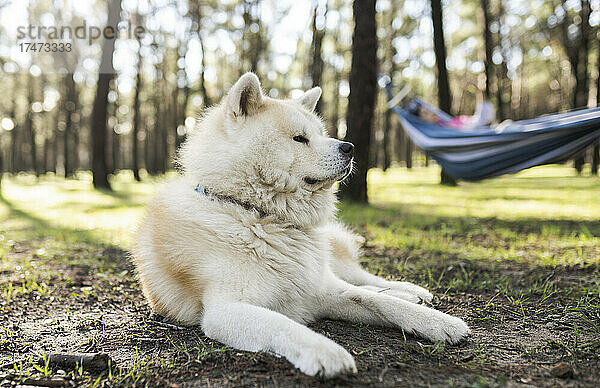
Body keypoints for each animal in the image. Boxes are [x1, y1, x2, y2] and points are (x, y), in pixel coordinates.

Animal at [134, 73, 472, 378]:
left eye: (322, 134)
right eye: (299, 138)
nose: (349, 147)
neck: (260, 215)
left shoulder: (320, 290)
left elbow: (378, 301)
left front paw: (438, 322)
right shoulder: (226, 310)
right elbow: (285, 325)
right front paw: (327, 352)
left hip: (331, 264)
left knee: (362, 279)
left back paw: (411, 292)